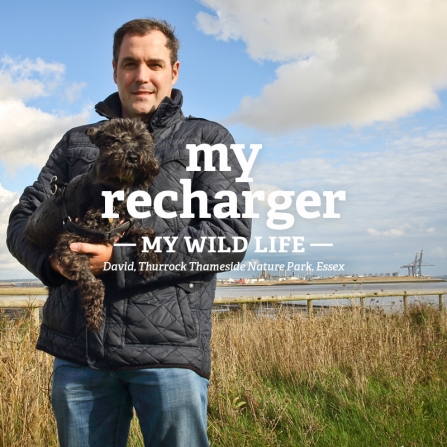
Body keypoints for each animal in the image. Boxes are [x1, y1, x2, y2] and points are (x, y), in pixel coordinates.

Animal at [24, 119, 163, 332]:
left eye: (142, 140)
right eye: (113, 140)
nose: (133, 156)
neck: (112, 195)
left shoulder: (125, 227)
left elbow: (146, 231)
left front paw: (148, 259)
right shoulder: (69, 244)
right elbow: (92, 282)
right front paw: (94, 314)